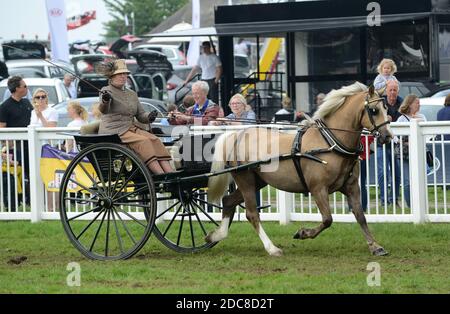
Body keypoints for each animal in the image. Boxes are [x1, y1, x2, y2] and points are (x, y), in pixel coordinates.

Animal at [206, 82, 392, 256]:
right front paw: (303, 233)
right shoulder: (318, 189)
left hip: (257, 182)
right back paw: (272, 248)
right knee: (252, 214)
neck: (330, 142)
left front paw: (375, 246)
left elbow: (360, 216)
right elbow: (327, 219)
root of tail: (236, 135)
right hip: (246, 180)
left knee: (228, 201)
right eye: (374, 110)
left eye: (386, 108)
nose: (387, 136)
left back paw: (216, 235)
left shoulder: (352, 187)